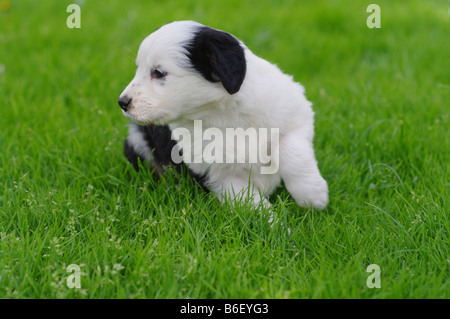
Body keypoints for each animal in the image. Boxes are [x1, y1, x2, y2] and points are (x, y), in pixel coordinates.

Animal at [119, 20, 328, 210]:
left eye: (159, 72)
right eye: (138, 68)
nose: (122, 102)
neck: (222, 114)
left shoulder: (294, 114)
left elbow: (293, 151)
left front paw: (313, 196)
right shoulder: (219, 175)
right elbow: (252, 202)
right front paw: (274, 225)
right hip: (137, 140)